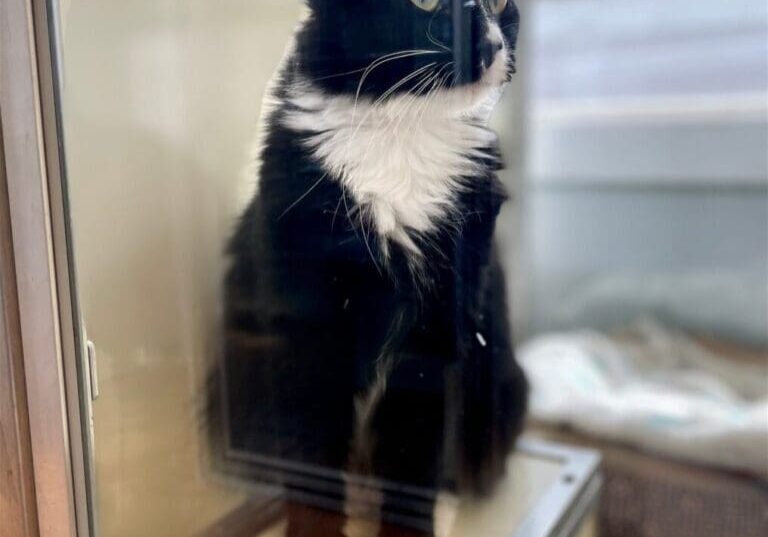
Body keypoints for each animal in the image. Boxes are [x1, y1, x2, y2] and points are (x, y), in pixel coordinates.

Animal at [216, 1, 528, 532]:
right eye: (425, 4)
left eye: (500, 3)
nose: (489, 45)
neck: (403, 135)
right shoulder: (304, 333)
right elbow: (311, 460)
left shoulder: (438, 334)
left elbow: (414, 458)